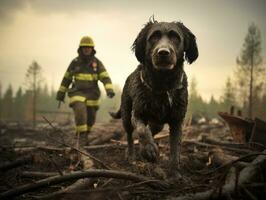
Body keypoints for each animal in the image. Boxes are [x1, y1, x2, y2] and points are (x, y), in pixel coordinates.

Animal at [109, 19, 197, 173]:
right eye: (153, 37)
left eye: (175, 37)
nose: (163, 52)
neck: (163, 84)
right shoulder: (137, 113)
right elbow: (142, 130)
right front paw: (149, 150)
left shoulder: (177, 120)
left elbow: (175, 149)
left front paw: (174, 172)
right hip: (126, 115)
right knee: (130, 135)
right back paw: (132, 154)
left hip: (158, 124)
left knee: (152, 129)